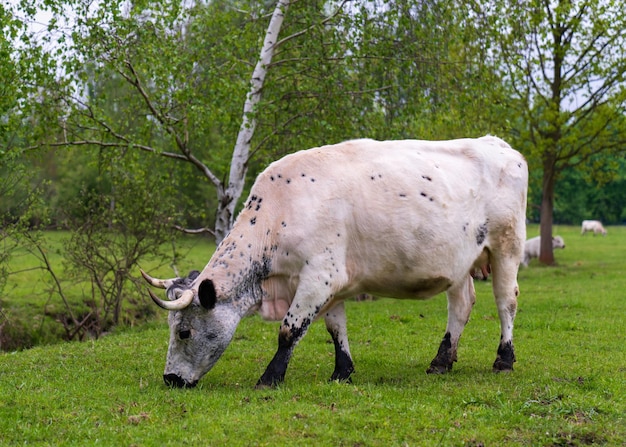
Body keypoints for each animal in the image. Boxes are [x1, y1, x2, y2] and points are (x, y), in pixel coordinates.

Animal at [141, 136, 528, 388]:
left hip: (507, 247)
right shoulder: (331, 283)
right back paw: (441, 361)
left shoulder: (318, 277)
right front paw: (342, 372)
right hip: (460, 261)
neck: (279, 211)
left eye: (184, 331)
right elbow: (335, 327)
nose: (170, 379)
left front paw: (270, 377)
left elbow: (289, 329)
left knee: (506, 302)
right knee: (461, 306)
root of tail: (498, 144)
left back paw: (504, 360)